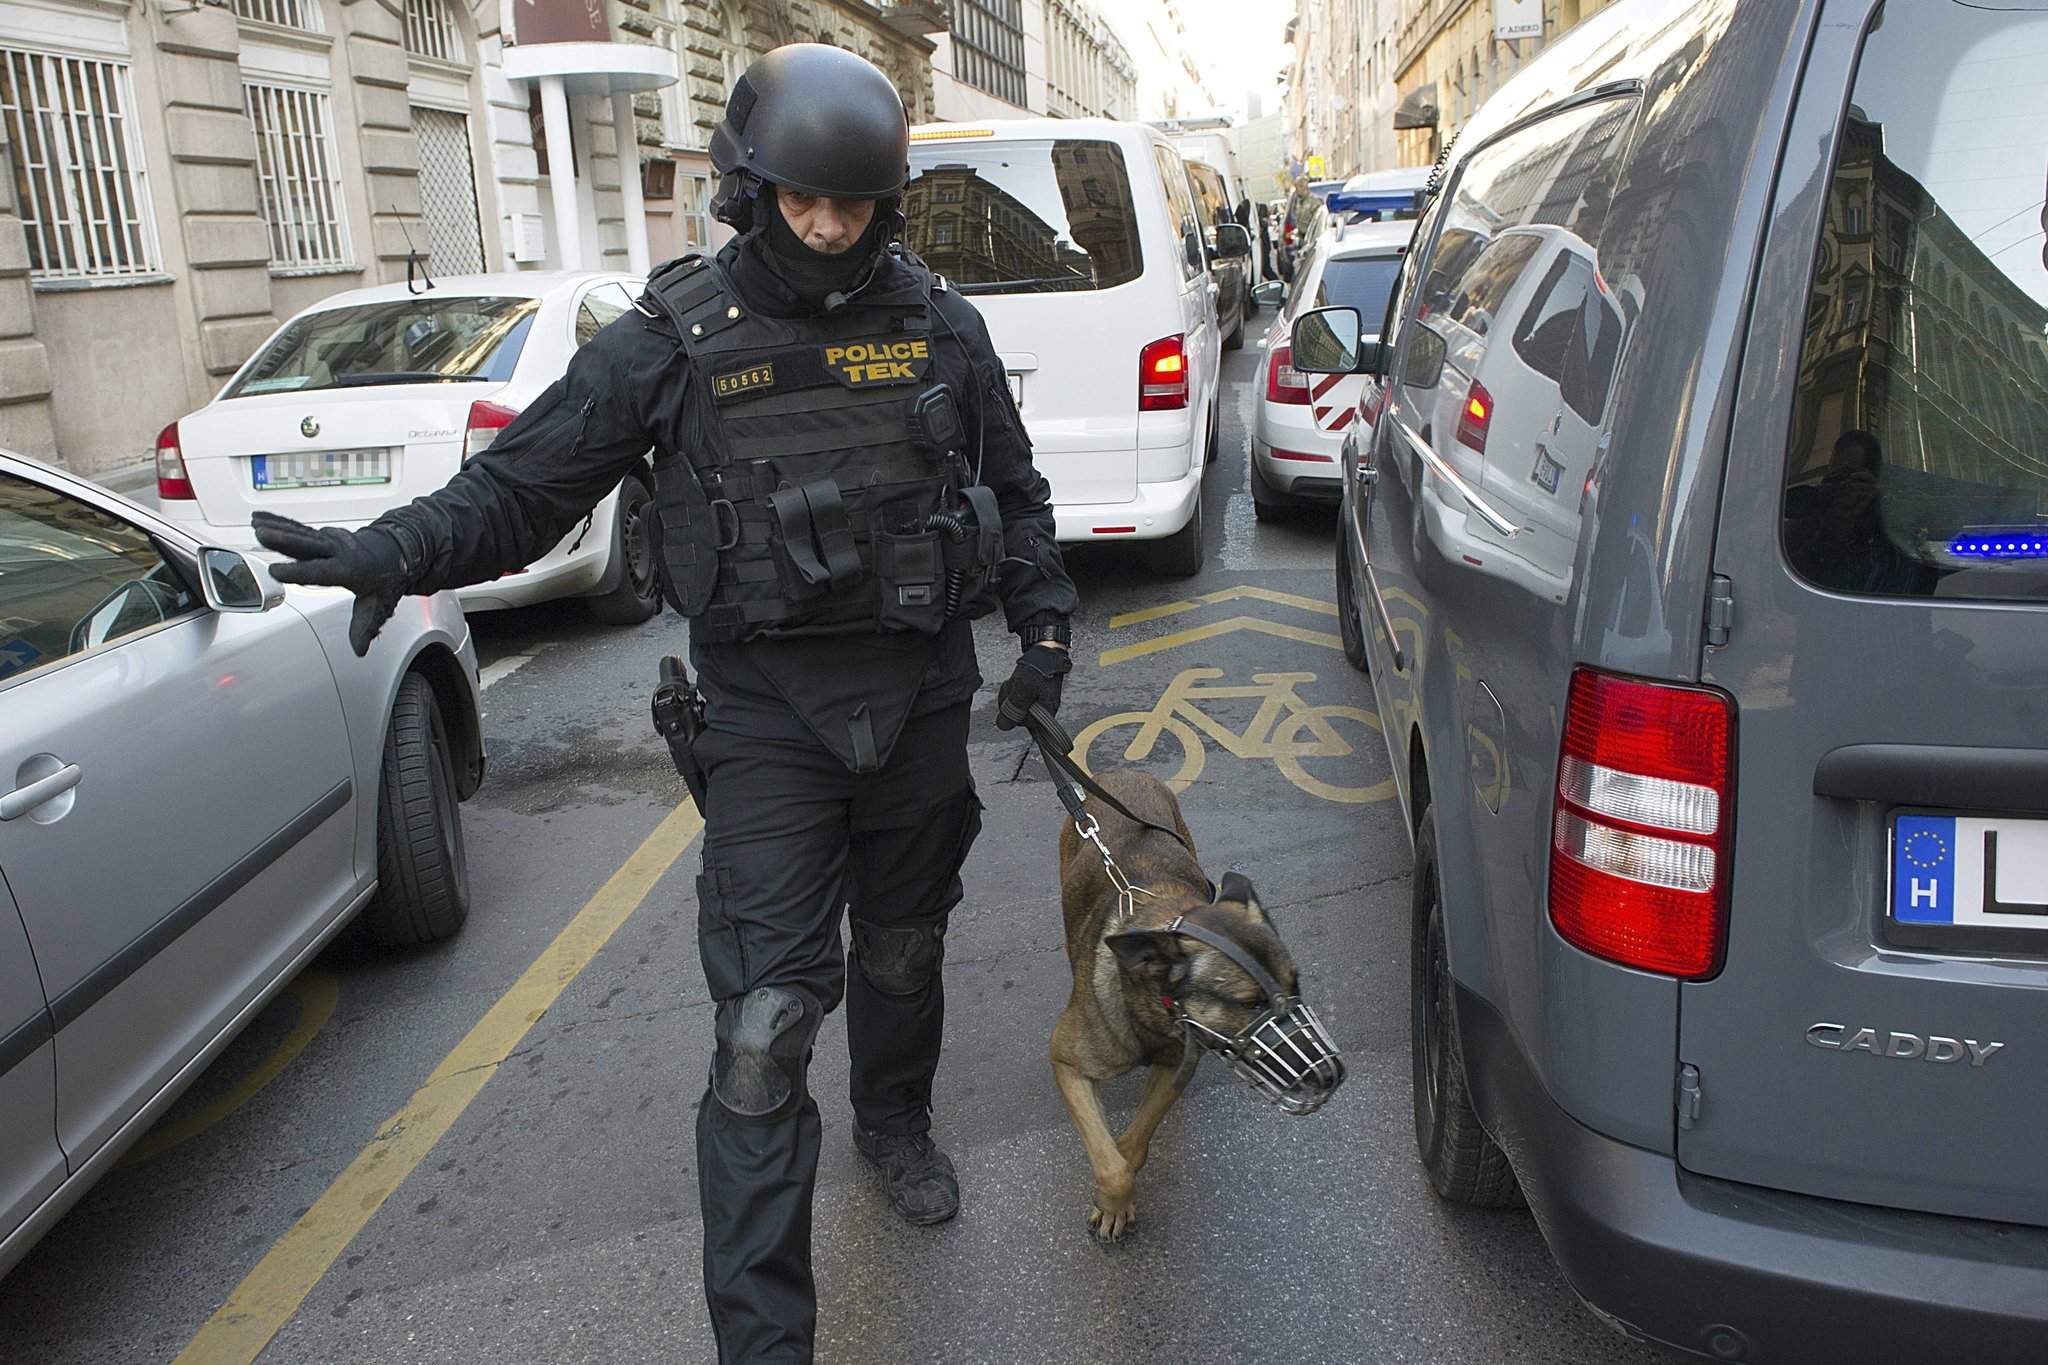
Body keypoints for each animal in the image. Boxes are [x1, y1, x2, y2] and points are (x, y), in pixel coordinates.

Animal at [1051, 769, 1340, 1243]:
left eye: (1295, 985)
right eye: (1251, 1002)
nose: (1330, 1074)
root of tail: (1122, 771)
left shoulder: (1176, 1068)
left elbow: (1132, 1147)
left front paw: (1117, 1189)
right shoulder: (1066, 1065)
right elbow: (1113, 1166)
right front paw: (1113, 1200)